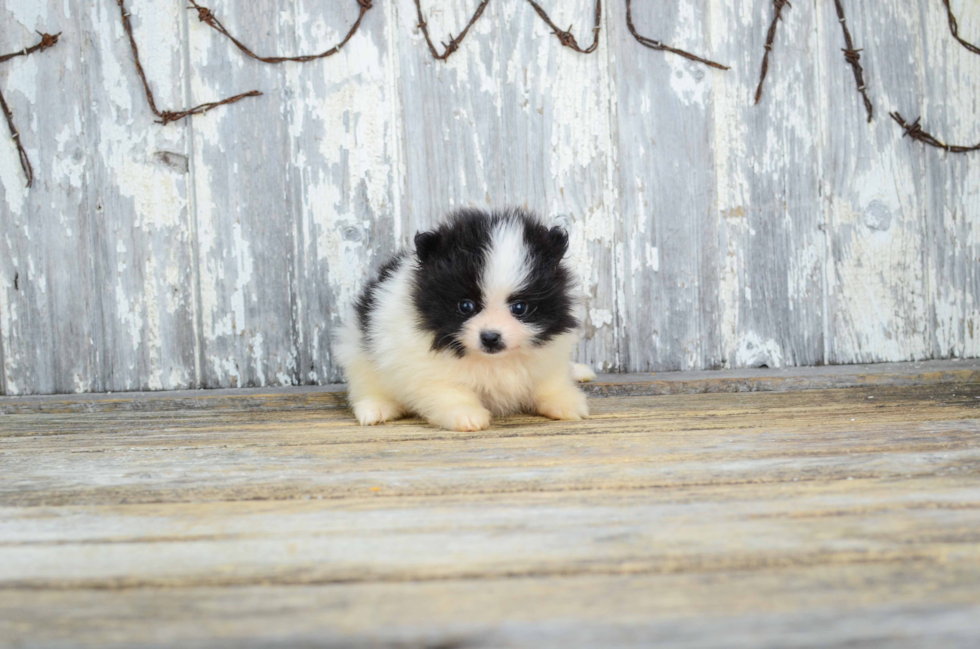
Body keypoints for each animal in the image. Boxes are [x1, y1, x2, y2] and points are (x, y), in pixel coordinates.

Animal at [336, 208, 596, 430]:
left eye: (520, 308)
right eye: (465, 306)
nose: (490, 337)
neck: (493, 361)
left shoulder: (549, 356)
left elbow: (549, 382)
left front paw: (566, 402)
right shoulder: (425, 367)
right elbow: (449, 391)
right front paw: (465, 414)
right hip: (359, 352)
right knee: (367, 385)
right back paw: (375, 408)